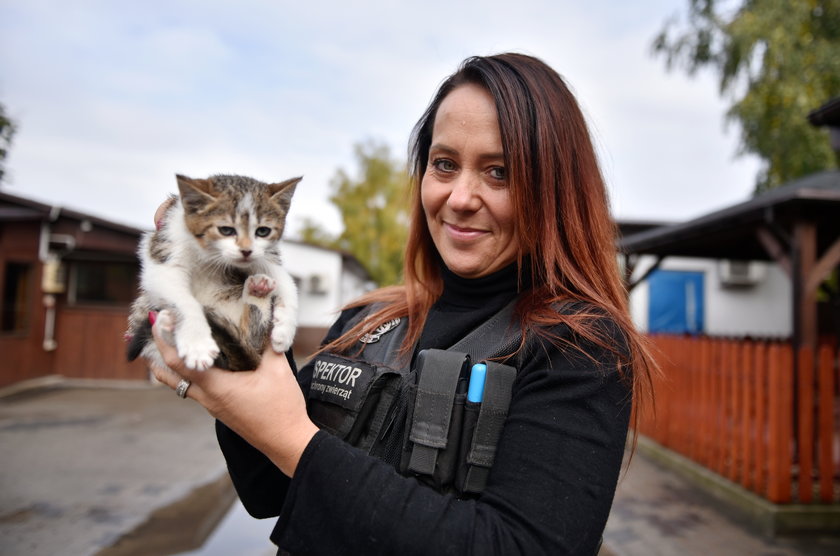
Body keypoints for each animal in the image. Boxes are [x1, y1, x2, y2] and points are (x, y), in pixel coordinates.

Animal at [128, 173, 302, 374]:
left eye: (263, 231)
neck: (209, 255)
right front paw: (197, 342)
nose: (246, 251)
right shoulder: (166, 247)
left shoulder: (266, 254)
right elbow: (183, 298)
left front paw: (285, 329)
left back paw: (258, 292)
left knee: (251, 341)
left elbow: (285, 280)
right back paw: (166, 324)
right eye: (226, 230)